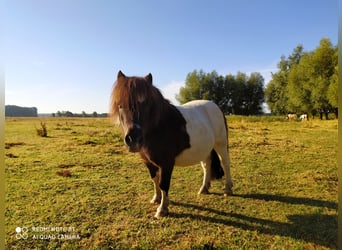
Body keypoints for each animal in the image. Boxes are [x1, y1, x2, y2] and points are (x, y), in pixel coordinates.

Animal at [111, 71, 234, 219]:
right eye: (120, 105)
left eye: (147, 104)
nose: (133, 139)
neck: (159, 127)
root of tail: (215, 106)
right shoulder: (148, 162)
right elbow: (155, 179)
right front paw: (156, 199)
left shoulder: (166, 163)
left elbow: (164, 184)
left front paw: (162, 209)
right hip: (205, 149)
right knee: (206, 165)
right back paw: (204, 188)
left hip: (221, 144)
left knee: (225, 163)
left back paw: (228, 189)